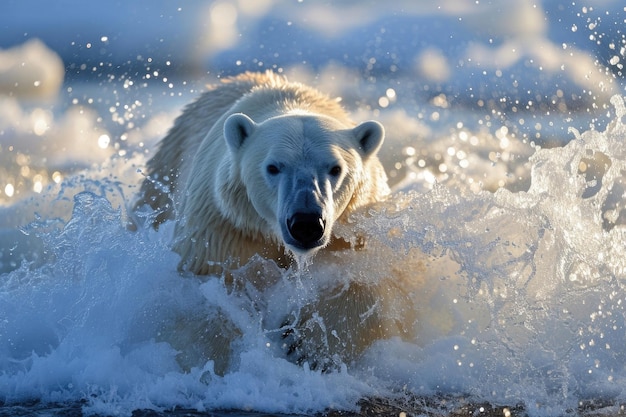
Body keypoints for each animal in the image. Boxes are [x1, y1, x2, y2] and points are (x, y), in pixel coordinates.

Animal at [134, 71, 414, 374]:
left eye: (335, 168)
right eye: (273, 167)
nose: (306, 223)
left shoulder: (358, 225)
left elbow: (377, 280)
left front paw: (310, 346)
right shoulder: (227, 226)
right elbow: (201, 287)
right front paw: (217, 356)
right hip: (165, 171)